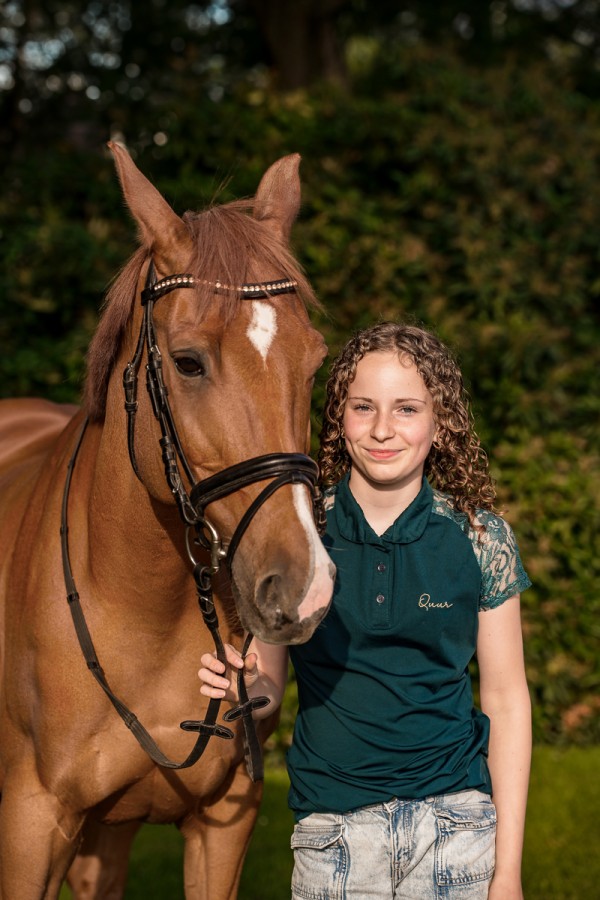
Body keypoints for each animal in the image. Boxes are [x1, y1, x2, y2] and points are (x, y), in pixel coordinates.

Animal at [0, 144, 336, 896]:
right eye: (187, 362)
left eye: (314, 361)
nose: (304, 586)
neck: (138, 607)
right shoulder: (33, 821)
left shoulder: (223, 824)